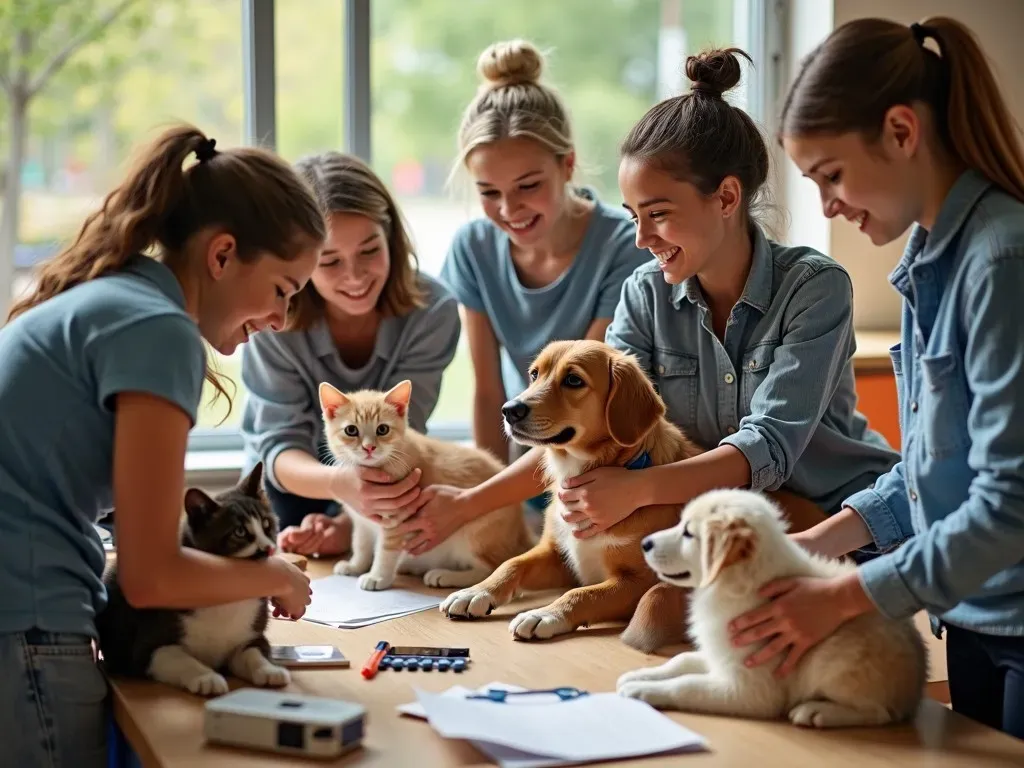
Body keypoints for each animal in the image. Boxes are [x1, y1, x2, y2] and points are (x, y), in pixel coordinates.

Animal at [96, 462, 290, 696]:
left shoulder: (250, 634)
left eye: (267, 523)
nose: (268, 549)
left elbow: (253, 652)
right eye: (239, 532)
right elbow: (179, 658)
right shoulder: (147, 648)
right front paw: (207, 677)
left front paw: (270, 670)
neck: (226, 596)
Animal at [321, 382, 536, 593]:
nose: (369, 448)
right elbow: (361, 544)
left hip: (475, 533)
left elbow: (386, 550)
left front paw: (378, 576)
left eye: (382, 430)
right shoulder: (362, 520)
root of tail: (521, 530)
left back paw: (445, 576)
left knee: (491, 568)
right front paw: (355, 565)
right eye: (351, 430)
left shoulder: (397, 520)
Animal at [438, 339, 823, 651]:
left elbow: (583, 594)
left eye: (573, 380)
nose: (510, 409)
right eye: (535, 374)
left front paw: (545, 615)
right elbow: (511, 563)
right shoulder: (560, 556)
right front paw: (477, 592)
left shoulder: (637, 581)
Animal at [614, 489, 929, 729]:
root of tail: (915, 688)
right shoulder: (722, 654)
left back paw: (817, 712)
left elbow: (688, 685)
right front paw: (640, 676)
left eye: (689, 533)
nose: (645, 543)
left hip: (835, 662)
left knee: (881, 713)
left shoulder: (750, 688)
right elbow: (681, 661)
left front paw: (644, 690)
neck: (742, 583)